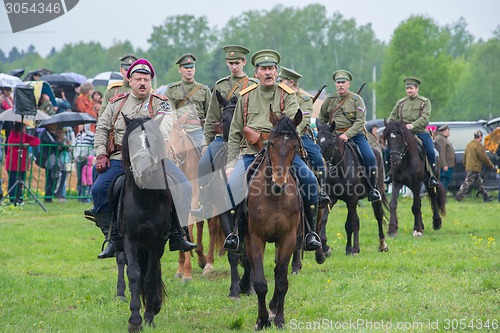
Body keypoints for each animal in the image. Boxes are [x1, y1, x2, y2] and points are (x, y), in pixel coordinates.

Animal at [120, 115, 175, 330]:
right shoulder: (130, 239)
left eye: (153, 140)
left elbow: (151, 276)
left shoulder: (157, 241)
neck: (145, 199)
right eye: (131, 142)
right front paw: (134, 320)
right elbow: (134, 274)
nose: (143, 172)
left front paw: (149, 316)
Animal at [316, 120, 390, 253]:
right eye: (317, 141)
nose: (322, 166)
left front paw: (355, 248)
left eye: (331, 143)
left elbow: (354, 222)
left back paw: (382, 244)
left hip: (377, 193)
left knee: (379, 215)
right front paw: (325, 246)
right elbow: (325, 219)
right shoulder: (332, 198)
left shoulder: (353, 199)